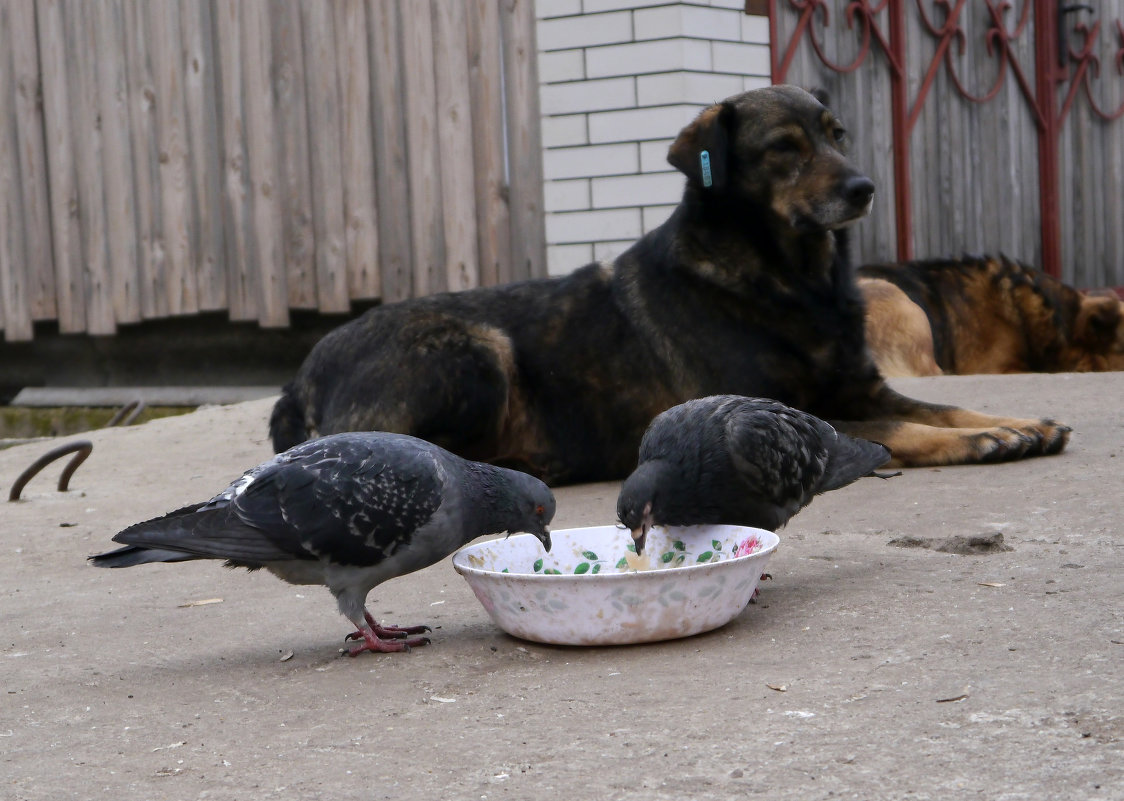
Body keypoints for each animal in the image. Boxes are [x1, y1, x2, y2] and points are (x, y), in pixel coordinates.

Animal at [267, 89, 1065, 487]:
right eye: (785, 149)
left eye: (837, 135)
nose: (864, 187)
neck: (788, 281)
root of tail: (298, 375)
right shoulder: (780, 411)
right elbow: (902, 429)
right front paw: (984, 438)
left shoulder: (861, 388)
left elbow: (943, 403)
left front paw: (1011, 419)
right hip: (476, 349)